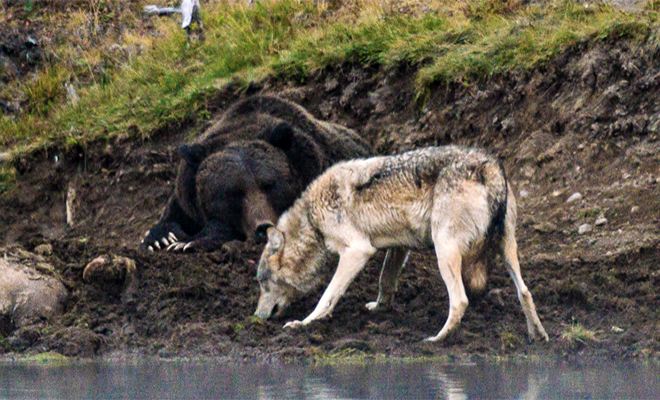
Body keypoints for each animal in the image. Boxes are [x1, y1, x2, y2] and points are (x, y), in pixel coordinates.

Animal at [140, 95, 368, 252]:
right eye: (233, 193)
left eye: (269, 185)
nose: (263, 227)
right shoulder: (187, 198)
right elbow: (169, 221)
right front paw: (163, 238)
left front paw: (187, 242)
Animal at [255, 145, 548, 342]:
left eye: (262, 282)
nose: (257, 317)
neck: (311, 218)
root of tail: (490, 166)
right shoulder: (398, 247)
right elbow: (385, 281)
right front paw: (380, 308)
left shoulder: (357, 251)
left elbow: (327, 297)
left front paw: (304, 324)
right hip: (507, 249)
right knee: (525, 292)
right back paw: (538, 336)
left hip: (444, 251)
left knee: (460, 301)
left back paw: (437, 339)